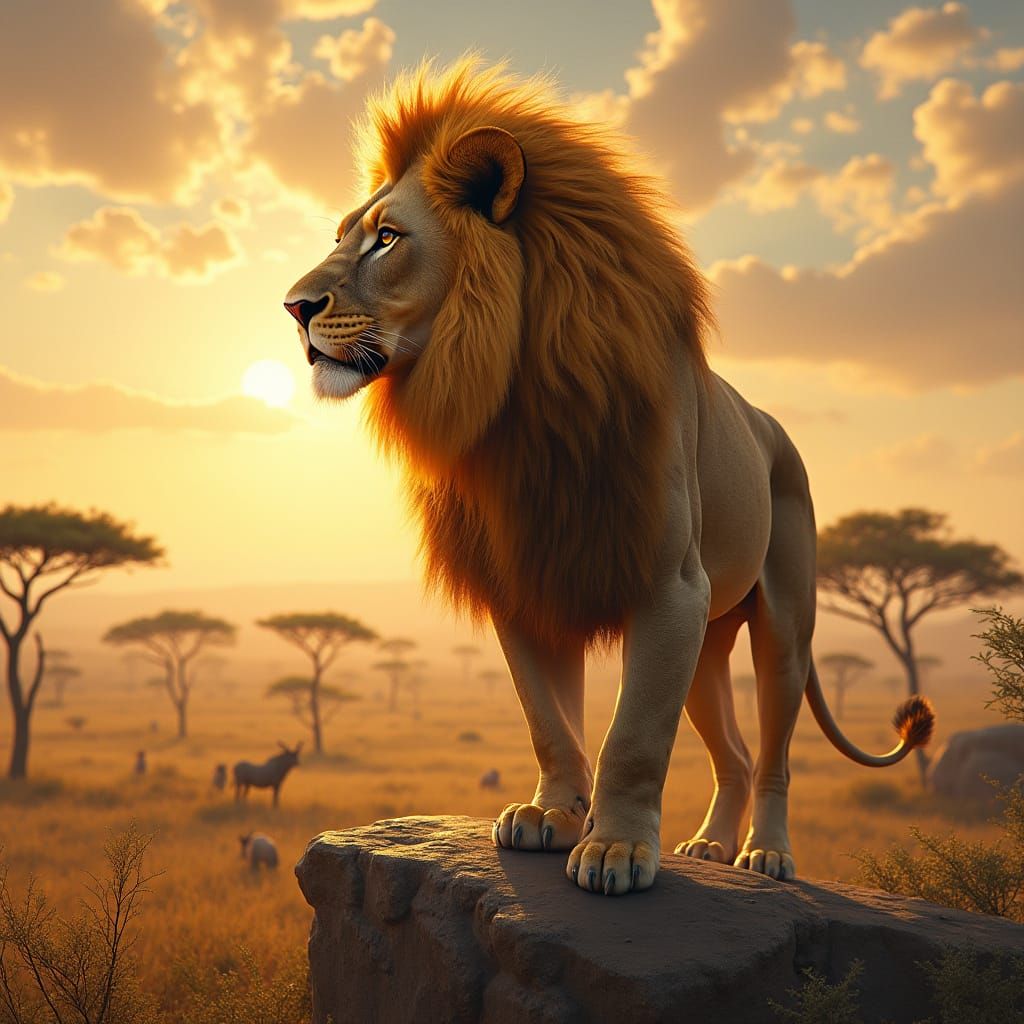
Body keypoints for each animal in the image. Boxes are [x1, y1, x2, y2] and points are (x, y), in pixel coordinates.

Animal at [284, 60, 934, 896]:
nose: (293, 307)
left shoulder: (668, 586)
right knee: (734, 751)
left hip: (782, 626)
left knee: (774, 756)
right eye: (342, 238)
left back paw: (765, 854)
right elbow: (550, 721)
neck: (514, 402)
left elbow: (633, 737)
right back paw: (709, 846)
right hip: (710, 640)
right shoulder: (528, 581)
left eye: (387, 239)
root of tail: (773, 428)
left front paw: (617, 850)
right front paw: (550, 817)